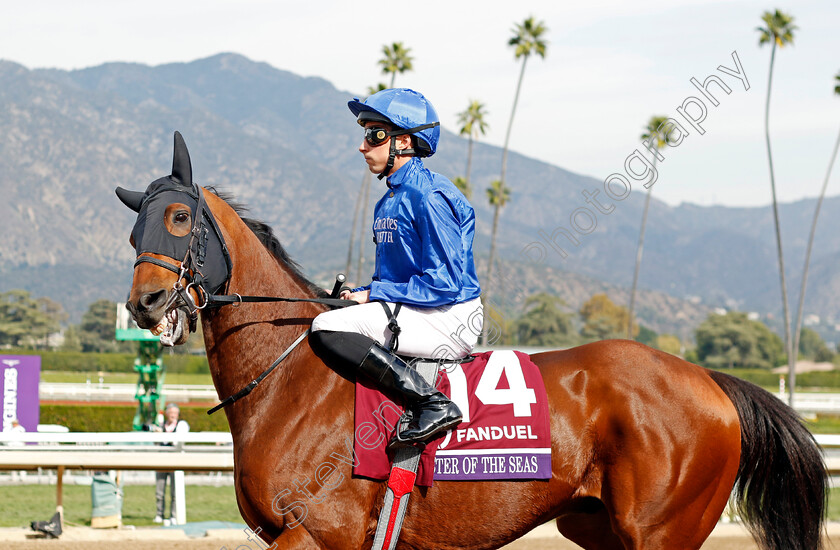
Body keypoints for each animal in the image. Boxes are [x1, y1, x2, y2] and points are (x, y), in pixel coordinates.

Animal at [118, 134, 828, 550]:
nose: (144, 304)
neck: (288, 383)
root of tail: (711, 382)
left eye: (178, 217)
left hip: (662, 532)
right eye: (134, 230)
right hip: (598, 525)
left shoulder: (319, 533)